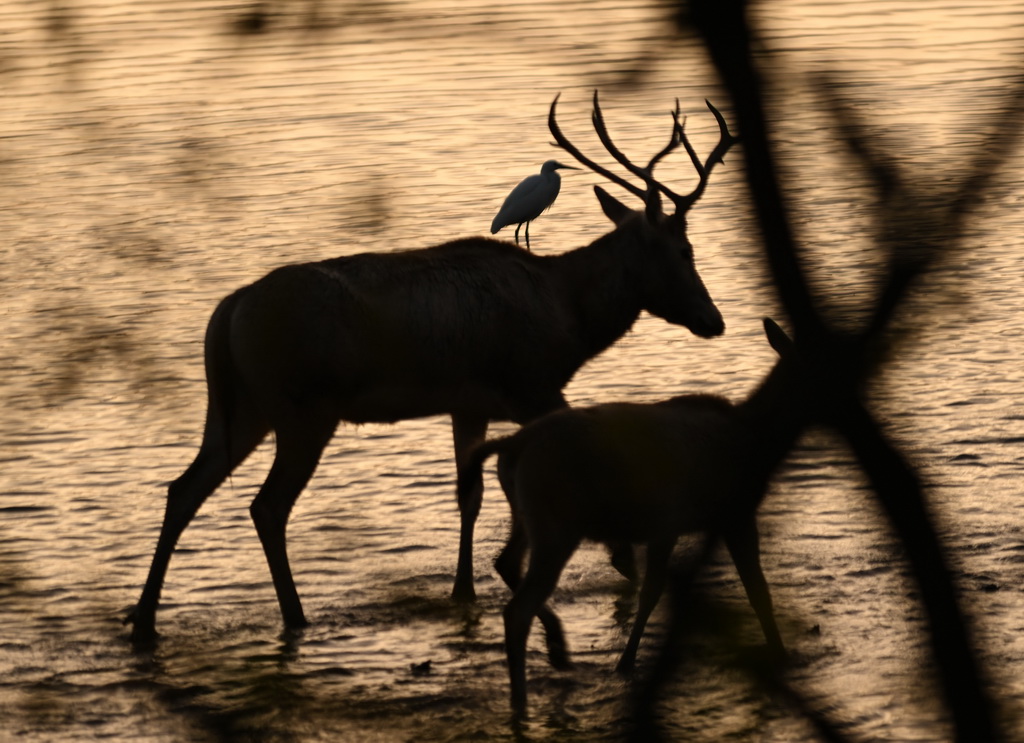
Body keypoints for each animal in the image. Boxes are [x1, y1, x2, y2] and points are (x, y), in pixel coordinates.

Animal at [125, 91, 737, 646]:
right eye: (684, 251)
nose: (714, 319)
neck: (569, 318)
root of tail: (227, 313)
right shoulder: (533, 385)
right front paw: (622, 561)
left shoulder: (468, 404)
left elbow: (469, 493)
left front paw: (462, 590)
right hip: (303, 411)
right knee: (267, 506)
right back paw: (295, 616)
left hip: (240, 409)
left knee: (184, 488)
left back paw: (145, 618)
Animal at [464, 317, 806, 720]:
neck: (759, 439)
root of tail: (511, 446)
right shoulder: (727, 514)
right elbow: (753, 590)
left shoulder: (691, 524)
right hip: (556, 526)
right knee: (518, 610)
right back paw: (523, 700)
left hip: (527, 516)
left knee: (506, 563)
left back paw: (555, 655)